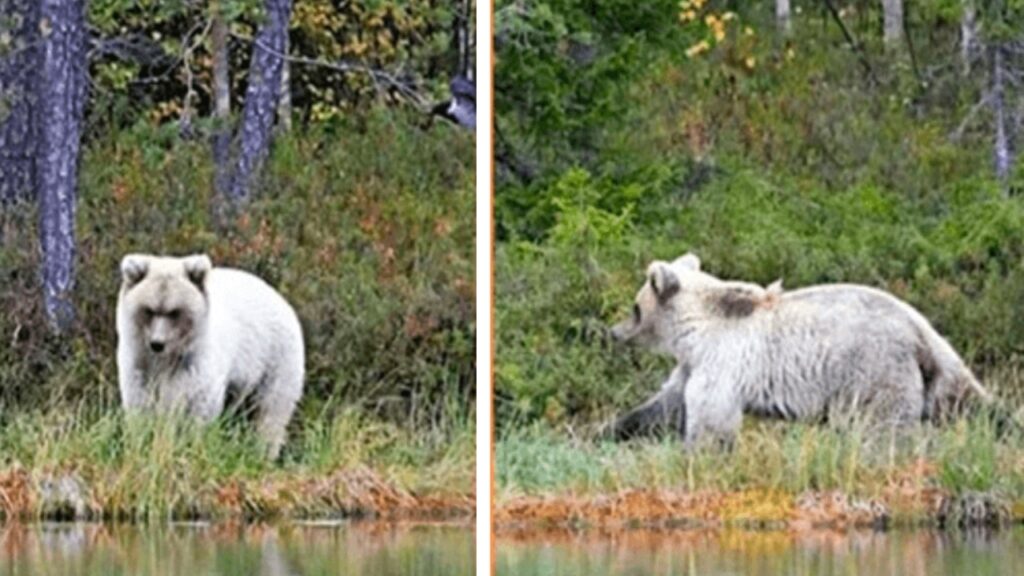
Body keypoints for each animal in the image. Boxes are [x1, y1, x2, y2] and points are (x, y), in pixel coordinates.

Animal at [117, 251, 303, 457]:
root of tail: (278, 296)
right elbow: (140, 404)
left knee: (271, 408)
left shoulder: (195, 365)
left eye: (175, 312)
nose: (157, 343)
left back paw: (263, 452)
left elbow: (198, 405)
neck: (167, 358)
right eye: (149, 310)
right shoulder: (139, 362)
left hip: (274, 357)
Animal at [606, 251, 991, 444]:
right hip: (936, 370)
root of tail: (919, 329)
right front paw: (612, 429)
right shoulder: (693, 365)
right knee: (961, 399)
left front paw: (700, 452)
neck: (695, 330)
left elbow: (710, 416)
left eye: (634, 307)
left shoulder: (723, 359)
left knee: (882, 427)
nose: (614, 332)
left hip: (874, 371)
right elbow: (665, 404)